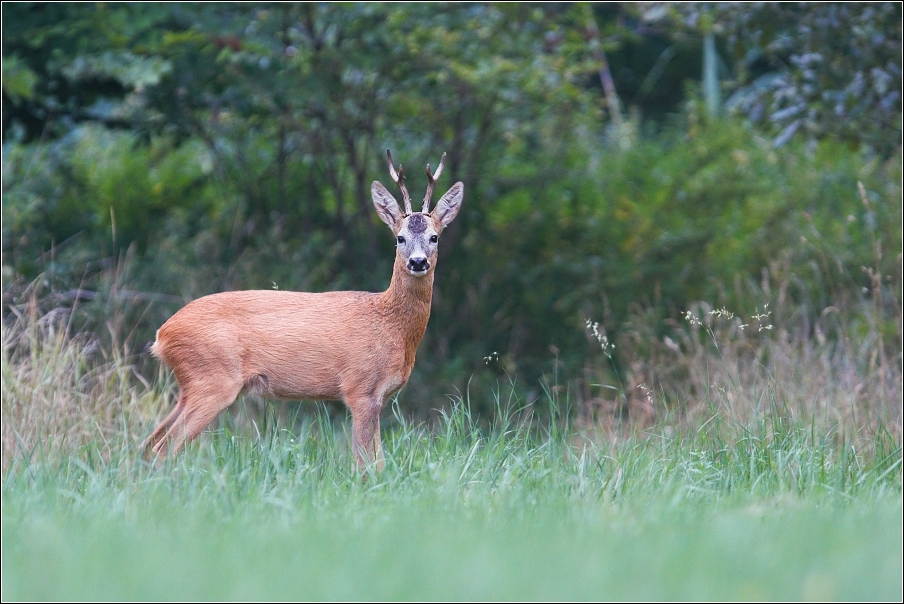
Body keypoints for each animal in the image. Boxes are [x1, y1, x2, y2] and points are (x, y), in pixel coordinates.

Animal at [147, 149, 466, 470]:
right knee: (165, 446)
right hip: (212, 379)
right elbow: (368, 462)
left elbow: (373, 459)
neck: (391, 325)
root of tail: (162, 335)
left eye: (434, 237)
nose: (418, 261)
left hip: (191, 385)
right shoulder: (359, 387)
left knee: (150, 442)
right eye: (400, 238)